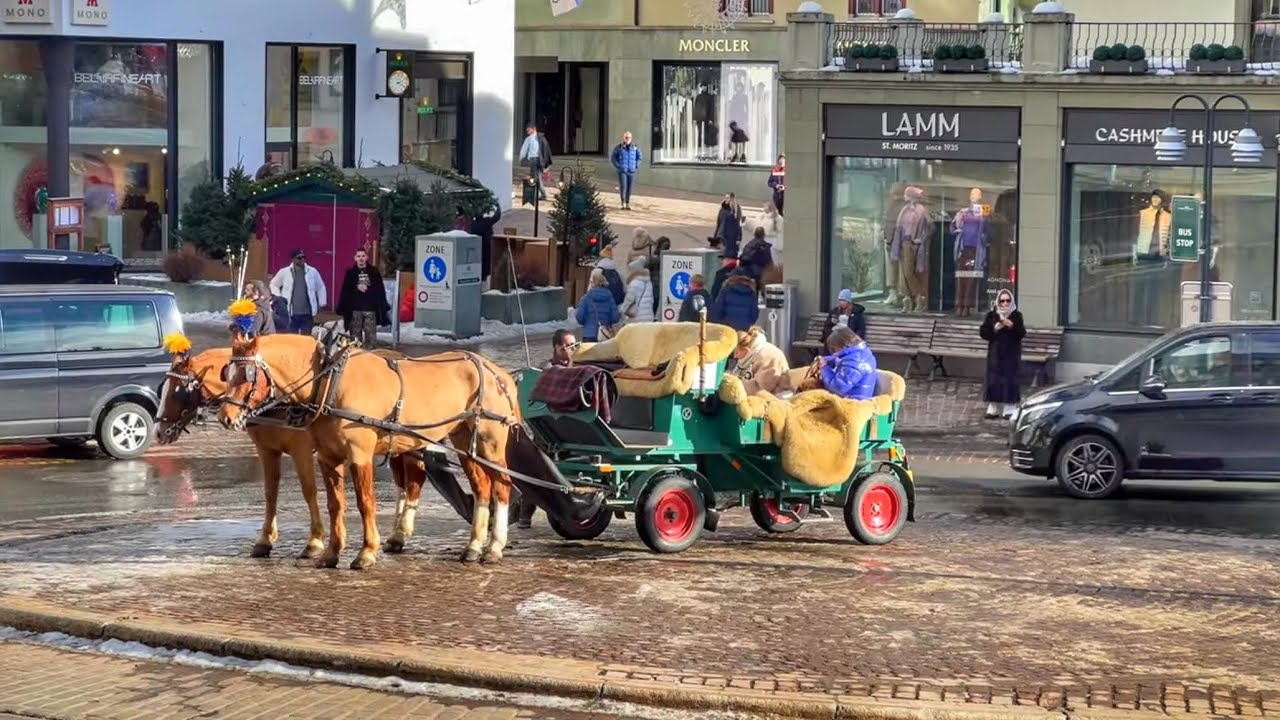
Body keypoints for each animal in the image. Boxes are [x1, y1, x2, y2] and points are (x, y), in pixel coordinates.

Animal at [217, 333, 522, 568]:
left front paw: (365, 552)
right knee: (480, 487)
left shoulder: (357, 455)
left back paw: (494, 547)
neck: (330, 381)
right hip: (464, 442)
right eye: (227, 374)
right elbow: (334, 504)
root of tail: (499, 373)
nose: (226, 417)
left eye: (247, 375)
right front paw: (331, 552)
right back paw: (473, 545)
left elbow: (365, 502)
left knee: (502, 486)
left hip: (490, 442)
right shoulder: (326, 457)